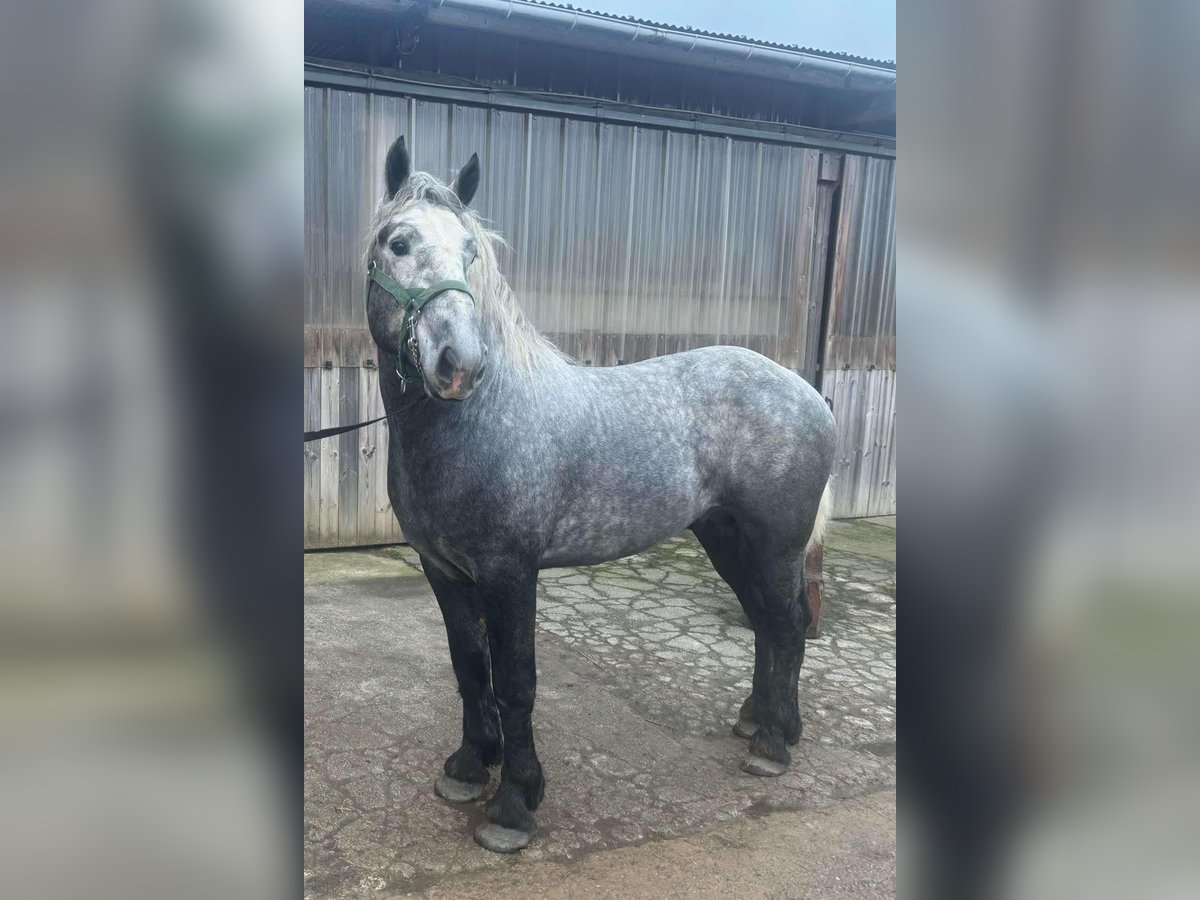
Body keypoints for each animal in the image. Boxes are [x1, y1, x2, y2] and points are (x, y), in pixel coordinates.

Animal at [364, 137, 835, 854]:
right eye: (397, 242)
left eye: (471, 252)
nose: (459, 364)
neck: (480, 419)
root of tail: (810, 396)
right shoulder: (444, 569)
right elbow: (469, 668)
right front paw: (469, 768)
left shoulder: (509, 571)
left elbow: (516, 682)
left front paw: (514, 805)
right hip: (726, 539)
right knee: (764, 624)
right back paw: (758, 722)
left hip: (775, 546)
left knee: (786, 625)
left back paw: (775, 747)